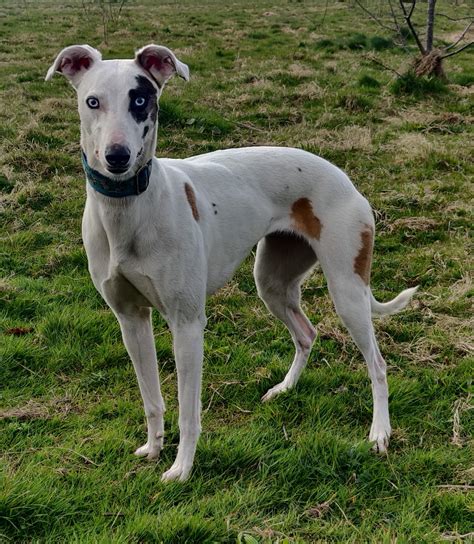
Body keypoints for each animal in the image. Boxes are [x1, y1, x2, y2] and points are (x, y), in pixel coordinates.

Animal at [47, 44, 418, 482]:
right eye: (93, 102)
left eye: (141, 101)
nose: (116, 157)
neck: (128, 210)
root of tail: (343, 176)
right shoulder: (131, 320)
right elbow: (152, 398)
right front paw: (153, 448)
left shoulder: (188, 325)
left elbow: (188, 411)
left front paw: (182, 468)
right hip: (271, 282)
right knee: (306, 333)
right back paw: (284, 389)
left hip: (347, 290)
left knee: (377, 363)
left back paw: (379, 433)